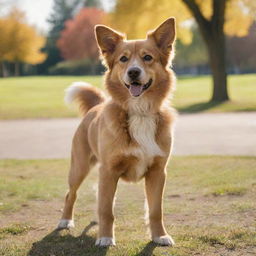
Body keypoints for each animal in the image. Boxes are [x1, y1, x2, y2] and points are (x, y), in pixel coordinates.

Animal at [57, 17, 176, 247]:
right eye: (123, 59)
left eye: (148, 57)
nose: (133, 72)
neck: (139, 112)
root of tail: (97, 105)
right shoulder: (109, 170)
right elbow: (106, 209)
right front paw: (105, 237)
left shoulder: (158, 172)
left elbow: (155, 210)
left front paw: (160, 236)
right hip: (79, 167)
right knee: (71, 194)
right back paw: (65, 221)